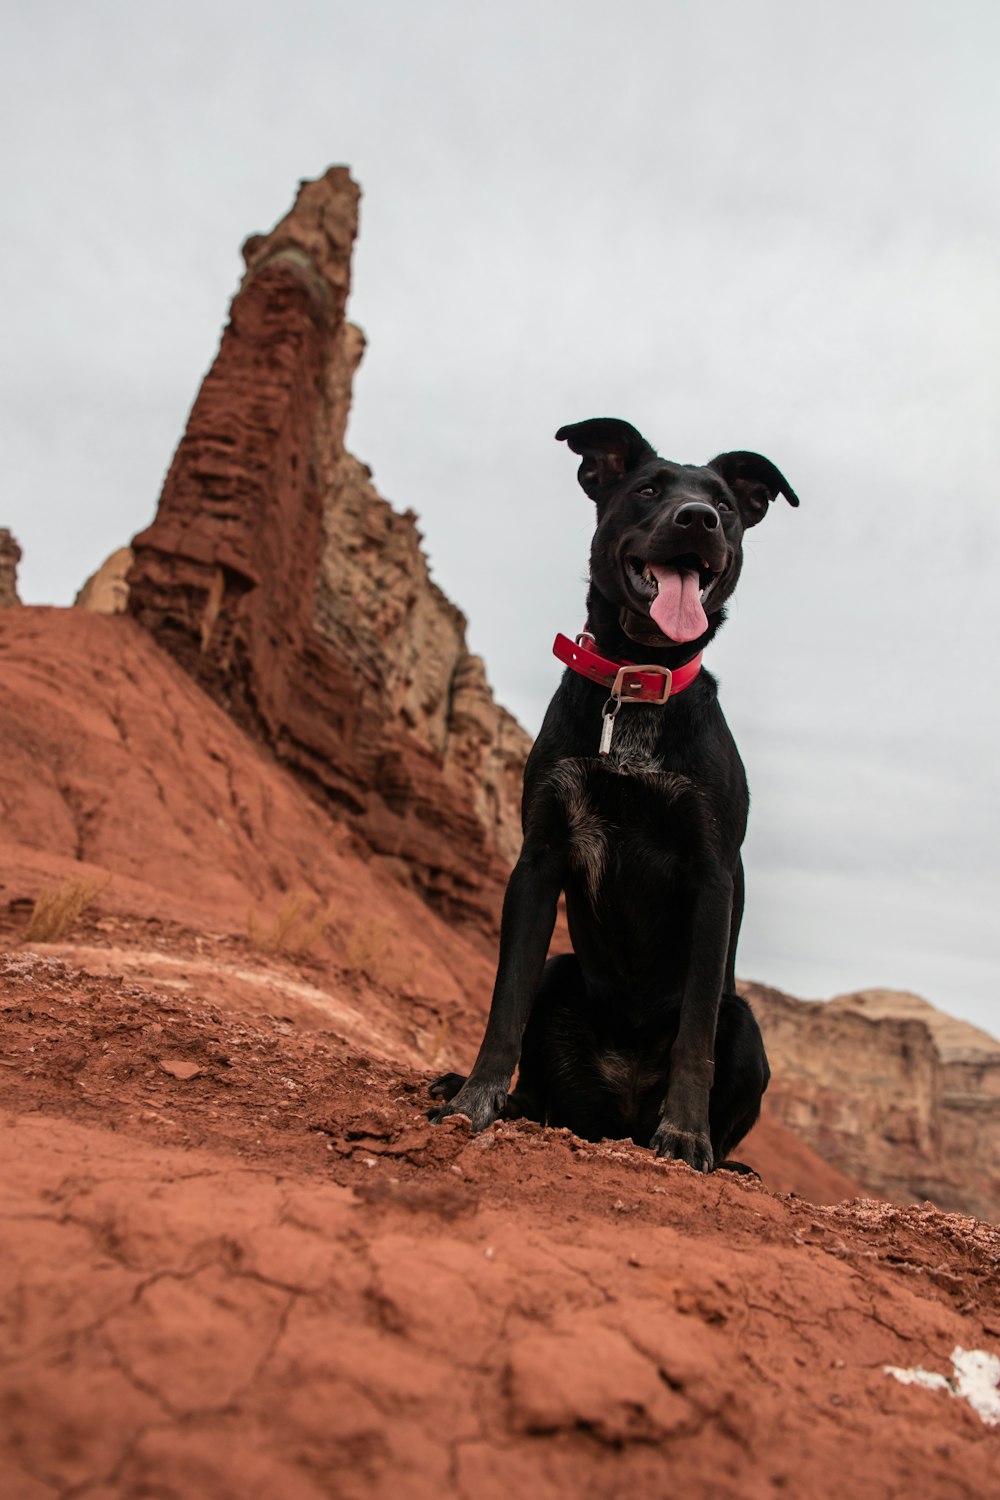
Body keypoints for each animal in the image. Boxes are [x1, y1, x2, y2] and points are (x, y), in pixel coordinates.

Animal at [431, 423, 797, 1170]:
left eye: (724, 504)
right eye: (649, 490)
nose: (699, 519)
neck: (638, 677)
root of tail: (618, 1119)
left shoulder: (711, 877)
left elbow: (694, 1035)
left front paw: (685, 1135)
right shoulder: (539, 856)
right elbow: (505, 1000)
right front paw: (476, 1098)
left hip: (744, 1022)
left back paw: (721, 1154)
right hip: (561, 974)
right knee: (542, 1075)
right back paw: (507, 1100)